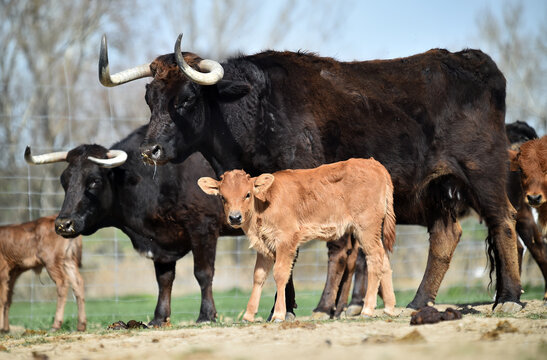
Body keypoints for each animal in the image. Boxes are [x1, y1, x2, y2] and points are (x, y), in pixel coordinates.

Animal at [25, 125, 239, 324]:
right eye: (64, 181)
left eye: (94, 181)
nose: (63, 224)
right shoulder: (161, 243)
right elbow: (164, 279)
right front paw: (159, 318)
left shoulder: (203, 226)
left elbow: (203, 273)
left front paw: (206, 315)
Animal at [199, 158, 396, 320]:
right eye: (222, 197)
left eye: (247, 194)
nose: (235, 217)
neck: (264, 203)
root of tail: (374, 164)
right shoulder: (264, 244)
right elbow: (258, 276)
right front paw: (248, 315)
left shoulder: (286, 240)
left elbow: (280, 274)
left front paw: (279, 314)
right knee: (384, 258)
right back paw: (389, 308)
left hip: (366, 227)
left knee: (375, 258)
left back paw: (368, 309)